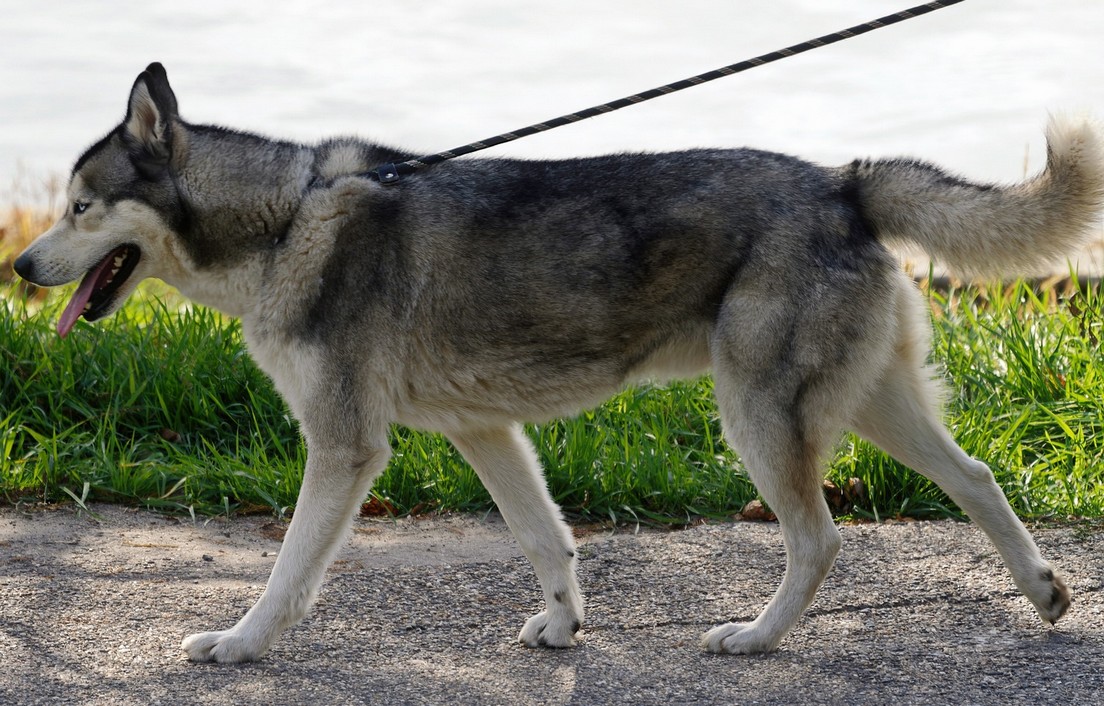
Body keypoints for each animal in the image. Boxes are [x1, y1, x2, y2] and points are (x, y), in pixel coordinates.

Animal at [15, 64, 1104, 662]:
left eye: (81, 206)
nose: (21, 266)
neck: (283, 222)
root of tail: (843, 181)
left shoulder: (345, 448)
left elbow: (287, 574)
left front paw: (239, 646)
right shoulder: (484, 431)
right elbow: (548, 540)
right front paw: (562, 626)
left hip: (759, 418)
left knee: (821, 539)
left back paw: (755, 637)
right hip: (871, 406)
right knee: (977, 478)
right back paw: (1047, 593)